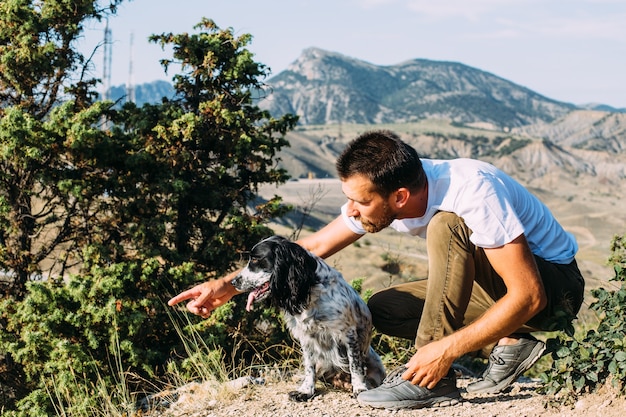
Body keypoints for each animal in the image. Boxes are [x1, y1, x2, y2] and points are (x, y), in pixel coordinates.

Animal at [230, 234, 386, 400]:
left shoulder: (348, 333)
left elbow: (355, 365)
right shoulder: (306, 336)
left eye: (255, 259)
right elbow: (309, 367)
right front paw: (306, 390)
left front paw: (360, 388)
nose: (233, 282)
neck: (310, 289)